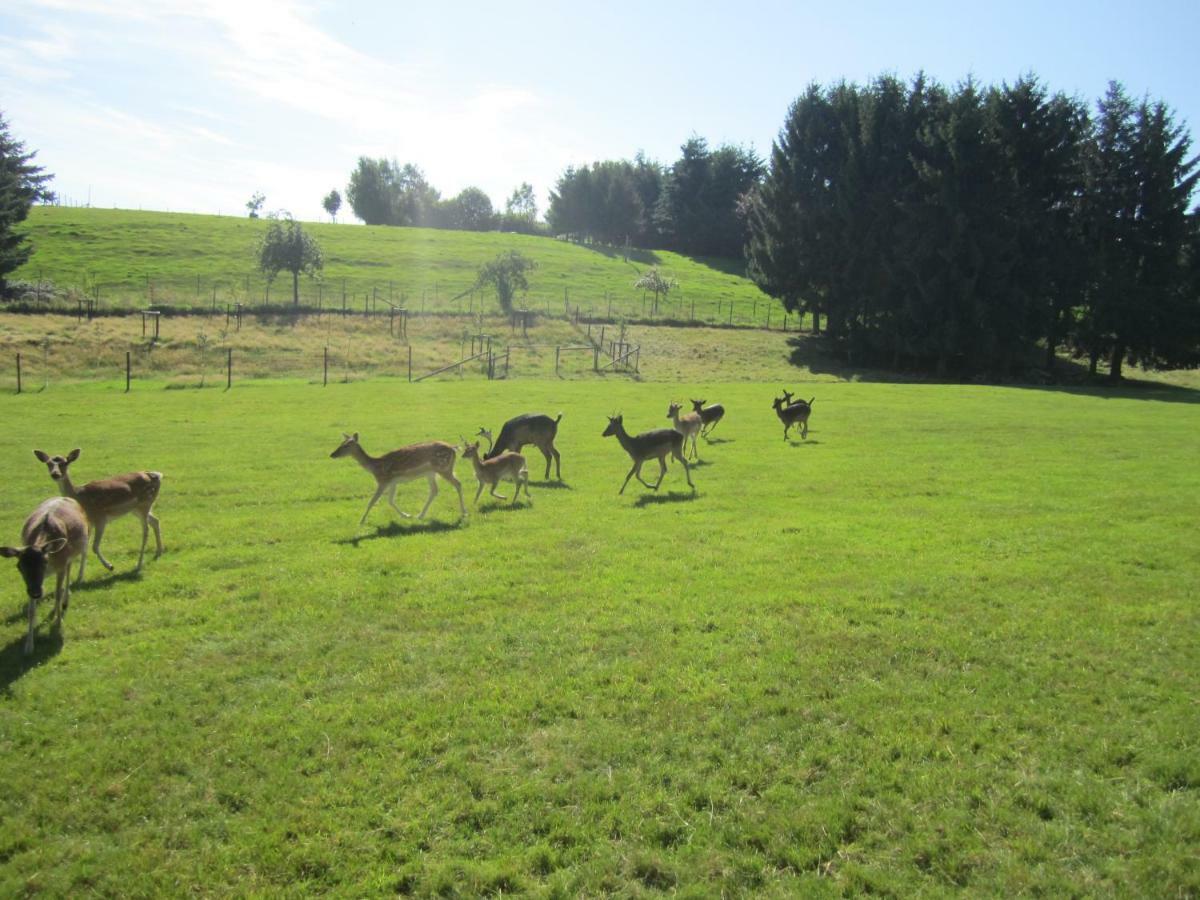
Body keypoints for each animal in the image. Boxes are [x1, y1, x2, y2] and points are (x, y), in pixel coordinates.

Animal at [3, 501, 88, 657]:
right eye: (19, 566)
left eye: (44, 562)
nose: (36, 592)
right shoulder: (31, 585)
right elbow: (31, 611)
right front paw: (28, 647)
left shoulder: (61, 565)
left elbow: (57, 594)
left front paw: (59, 623)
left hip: (74, 552)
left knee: (68, 572)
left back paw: (65, 601)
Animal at [34, 446, 163, 585]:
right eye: (49, 463)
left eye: (65, 463)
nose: (55, 474)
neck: (80, 498)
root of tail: (157, 475)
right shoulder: (89, 521)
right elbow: (84, 548)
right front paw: (79, 578)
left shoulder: (100, 517)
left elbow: (94, 547)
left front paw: (110, 566)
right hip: (136, 509)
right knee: (155, 521)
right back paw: (159, 552)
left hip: (145, 503)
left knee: (146, 531)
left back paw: (138, 565)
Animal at [331, 434, 465, 525]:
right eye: (341, 443)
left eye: (346, 445)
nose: (332, 454)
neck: (375, 467)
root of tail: (454, 448)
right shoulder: (393, 482)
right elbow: (390, 500)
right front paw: (407, 515)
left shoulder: (383, 481)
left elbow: (372, 501)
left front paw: (361, 521)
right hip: (430, 473)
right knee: (434, 490)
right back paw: (420, 515)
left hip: (444, 468)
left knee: (458, 484)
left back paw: (464, 512)